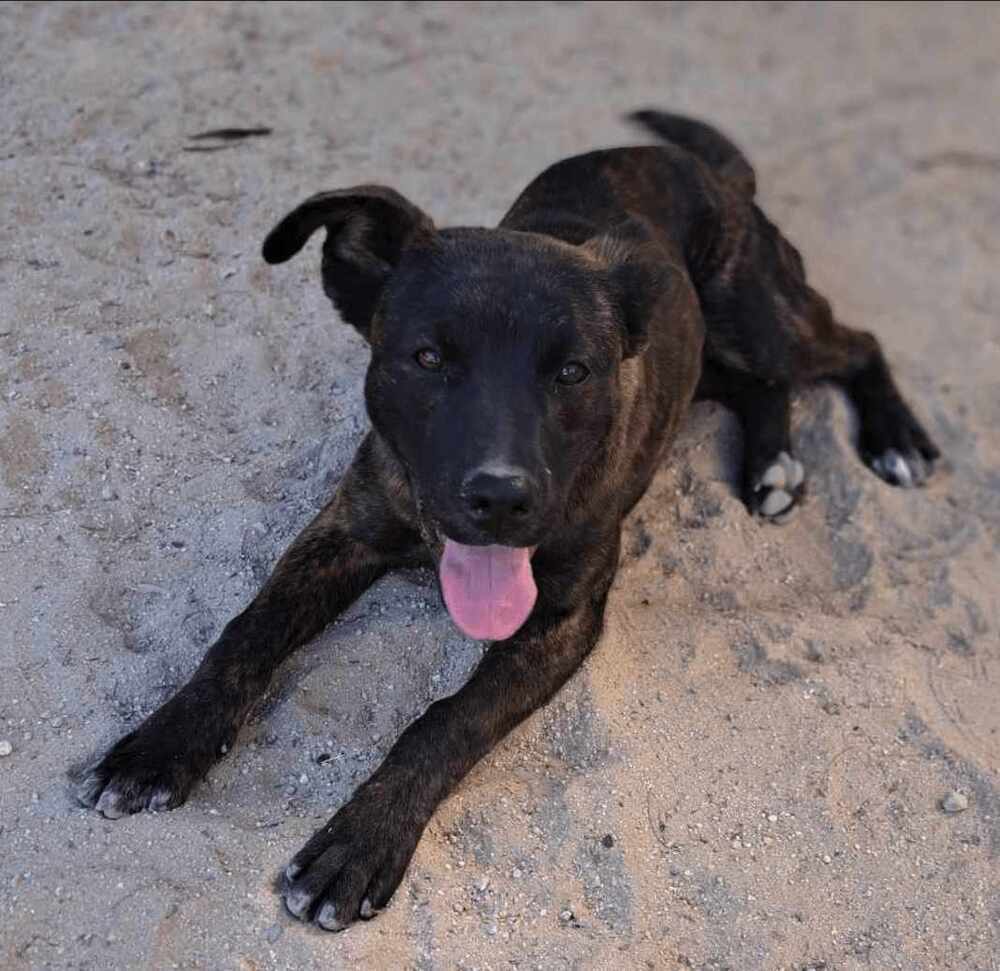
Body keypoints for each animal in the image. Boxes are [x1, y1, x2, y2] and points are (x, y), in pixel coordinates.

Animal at [76, 110, 936, 932]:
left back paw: (895, 440)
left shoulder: (561, 619)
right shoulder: (345, 528)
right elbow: (246, 632)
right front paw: (163, 743)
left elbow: (446, 720)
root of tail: (712, 172)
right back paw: (772, 465)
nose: (498, 497)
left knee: (854, 345)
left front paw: (360, 842)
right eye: (427, 358)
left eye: (573, 371)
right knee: (756, 383)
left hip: (759, 316)